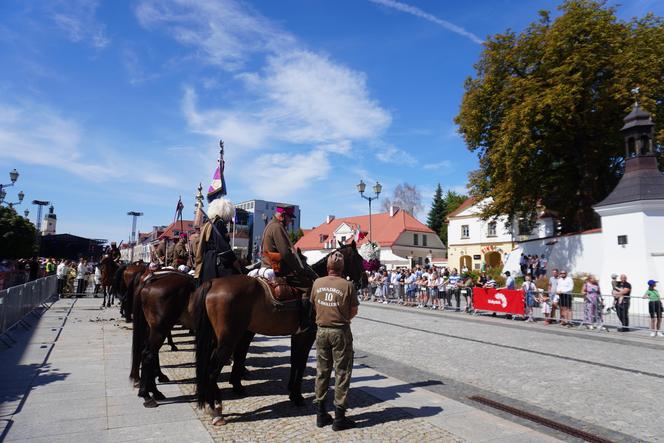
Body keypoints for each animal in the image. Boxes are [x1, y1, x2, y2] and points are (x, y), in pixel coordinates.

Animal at [130, 268, 197, 408]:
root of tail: (150, 281)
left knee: (149, 352)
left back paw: (154, 390)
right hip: (160, 329)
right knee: (148, 354)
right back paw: (146, 395)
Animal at [195, 243, 366, 426]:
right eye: (360, 259)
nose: (364, 280)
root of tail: (213, 283)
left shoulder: (297, 335)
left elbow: (294, 361)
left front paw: (292, 392)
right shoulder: (307, 336)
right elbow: (300, 363)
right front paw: (297, 396)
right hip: (228, 340)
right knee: (212, 369)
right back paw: (215, 409)